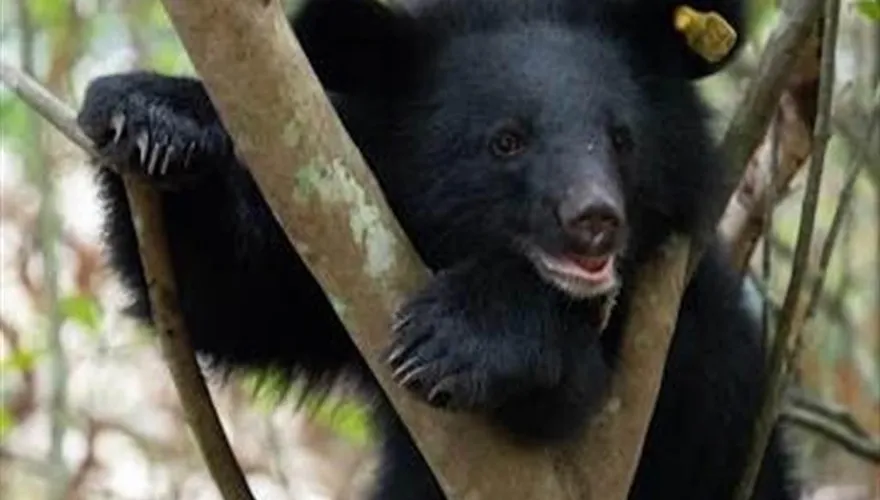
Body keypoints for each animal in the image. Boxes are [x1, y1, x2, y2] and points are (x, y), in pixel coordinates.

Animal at [76, 0, 799, 498]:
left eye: (622, 139)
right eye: (506, 141)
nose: (595, 220)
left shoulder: (676, 342)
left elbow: (590, 405)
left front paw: (455, 337)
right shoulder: (341, 257)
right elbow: (234, 298)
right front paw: (152, 114)